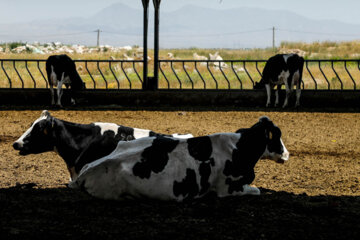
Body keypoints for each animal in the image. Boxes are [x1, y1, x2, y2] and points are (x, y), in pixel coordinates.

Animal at [69, 116, 290, 201]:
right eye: (277, 134)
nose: (287, 154)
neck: (240, 149)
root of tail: (84, 173)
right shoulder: (228, 189)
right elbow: (258, 190)